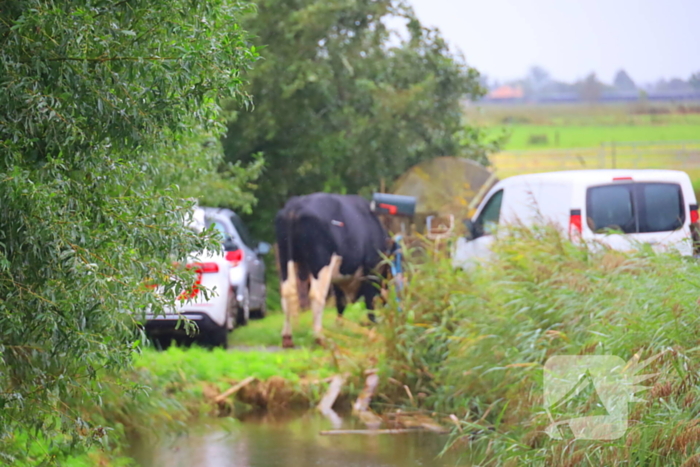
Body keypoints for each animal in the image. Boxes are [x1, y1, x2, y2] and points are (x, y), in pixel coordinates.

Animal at [274, 192, 394, 350]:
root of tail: (295, 206)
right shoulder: (370, 268)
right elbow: (370, 300)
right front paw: (373, 326)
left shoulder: (338, 278)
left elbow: (340, 302)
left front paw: (339, 327)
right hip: (321, 262)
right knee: (316, 295)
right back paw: (320, 338)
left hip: (285, 260)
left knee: (287, 293)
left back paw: (287, 338)